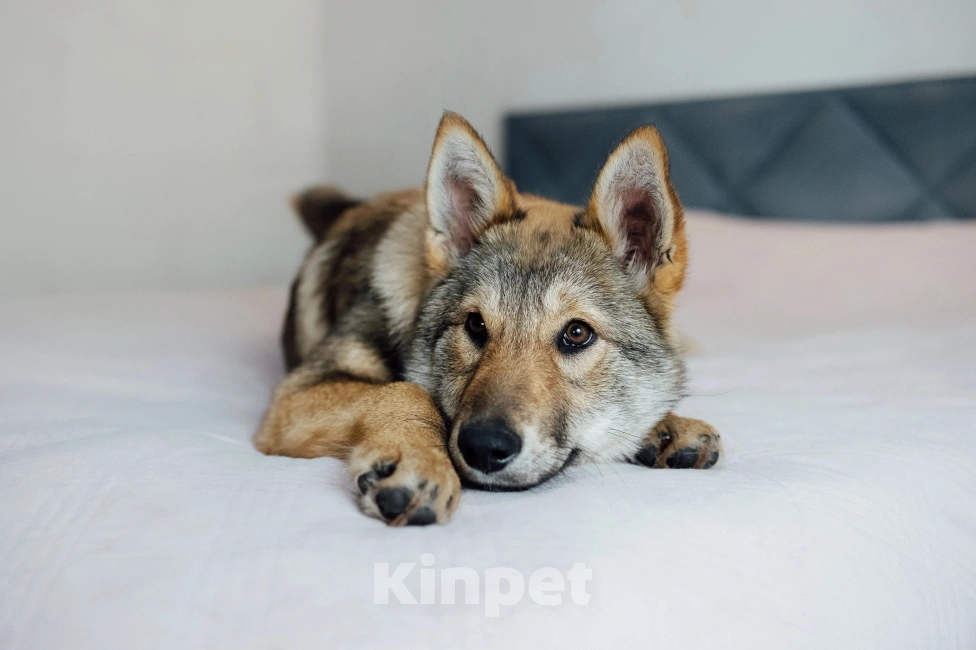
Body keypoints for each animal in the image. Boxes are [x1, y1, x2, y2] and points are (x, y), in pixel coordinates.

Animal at [255, 111, 720, 524]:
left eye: (577, 333)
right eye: (476, 325)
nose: (483, 447)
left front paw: (666, 425)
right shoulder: (296, 396)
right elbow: (405, 390)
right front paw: (419, 460)